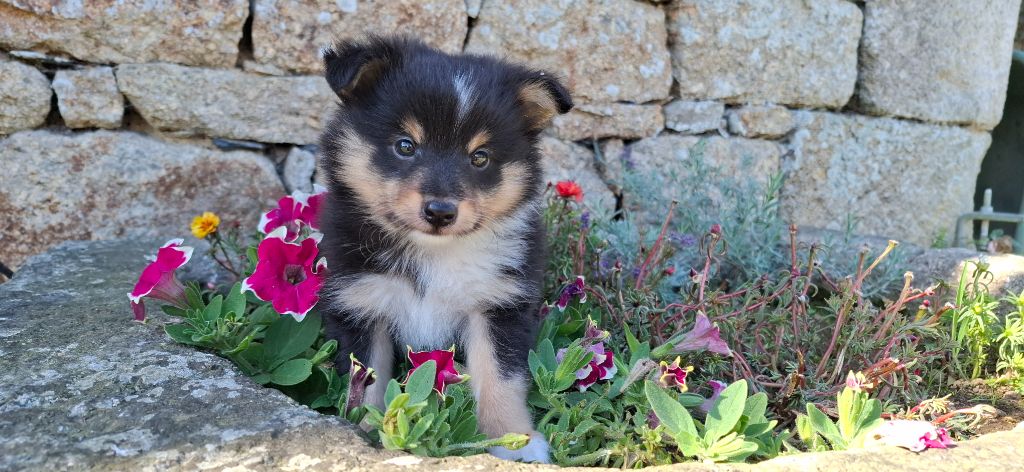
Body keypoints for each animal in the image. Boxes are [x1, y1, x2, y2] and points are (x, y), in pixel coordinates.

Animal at [315, 35, 573, 462]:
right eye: (405, 146)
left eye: (480, 157)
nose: (440, 211)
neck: (434, 254)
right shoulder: (362, 303)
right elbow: (366, 383)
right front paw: (370, 432)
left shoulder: (498, 305)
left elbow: (500, 379)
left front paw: (516, 441)